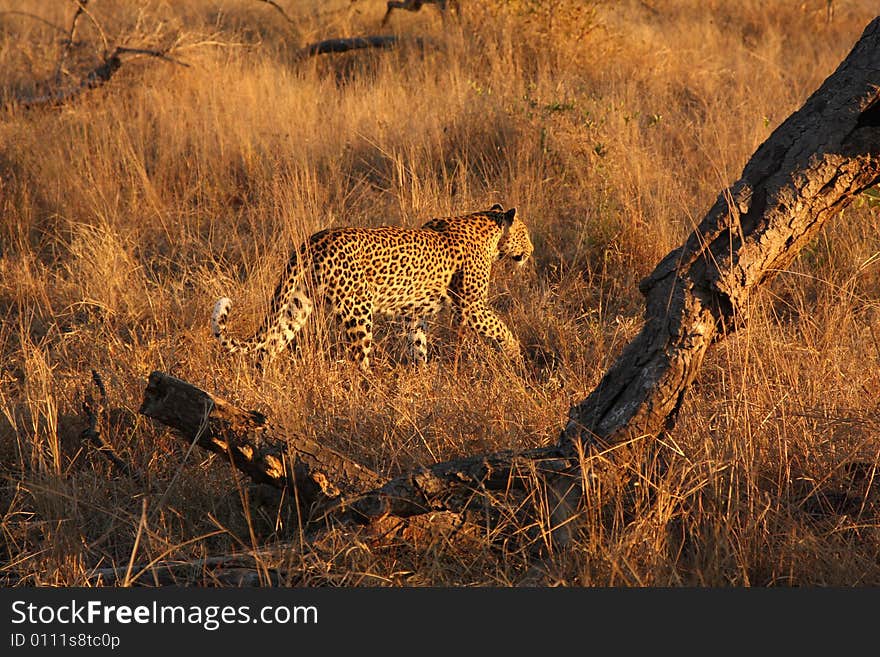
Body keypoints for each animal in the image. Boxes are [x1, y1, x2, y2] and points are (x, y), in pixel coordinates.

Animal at [210, 204, 532, 368]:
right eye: (525, 234)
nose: (531, 250)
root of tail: (313, 240)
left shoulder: (413, 313)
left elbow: (418, 345)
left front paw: (420, 377)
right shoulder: (471, 306)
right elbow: (502, 330)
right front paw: (516, 356)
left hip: (298, 303)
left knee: (269, 346)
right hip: (357, 309)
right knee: (357, 362)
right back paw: (367, 395)